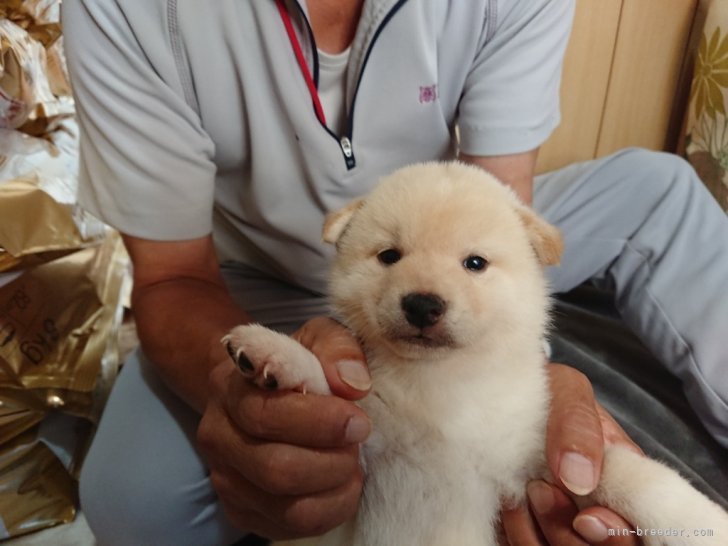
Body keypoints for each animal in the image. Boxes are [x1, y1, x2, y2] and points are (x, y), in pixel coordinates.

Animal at [223, 162, 728, 544]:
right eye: (389, 256)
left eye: (475, 264)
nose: (422, 304)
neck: (442, 389)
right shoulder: (368, 442)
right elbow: (336, 397)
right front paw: (275, 351)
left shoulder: (533, 459)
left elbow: (630, 476)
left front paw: (699, 522)